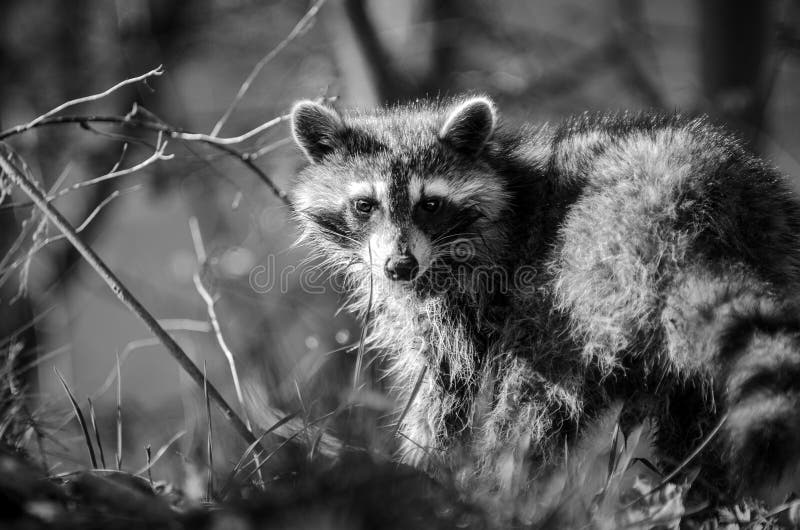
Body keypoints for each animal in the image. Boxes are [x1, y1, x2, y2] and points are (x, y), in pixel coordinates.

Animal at [288, 95, 800, 512]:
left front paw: (424, 468)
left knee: (533, 403)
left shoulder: (473, 291)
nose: (399, 266)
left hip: (573, 284)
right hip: (769, 242)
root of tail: (683, 198)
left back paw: (499, 491)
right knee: (696, 424)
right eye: (365, 205)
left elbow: (444, 389)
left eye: (429, 204)